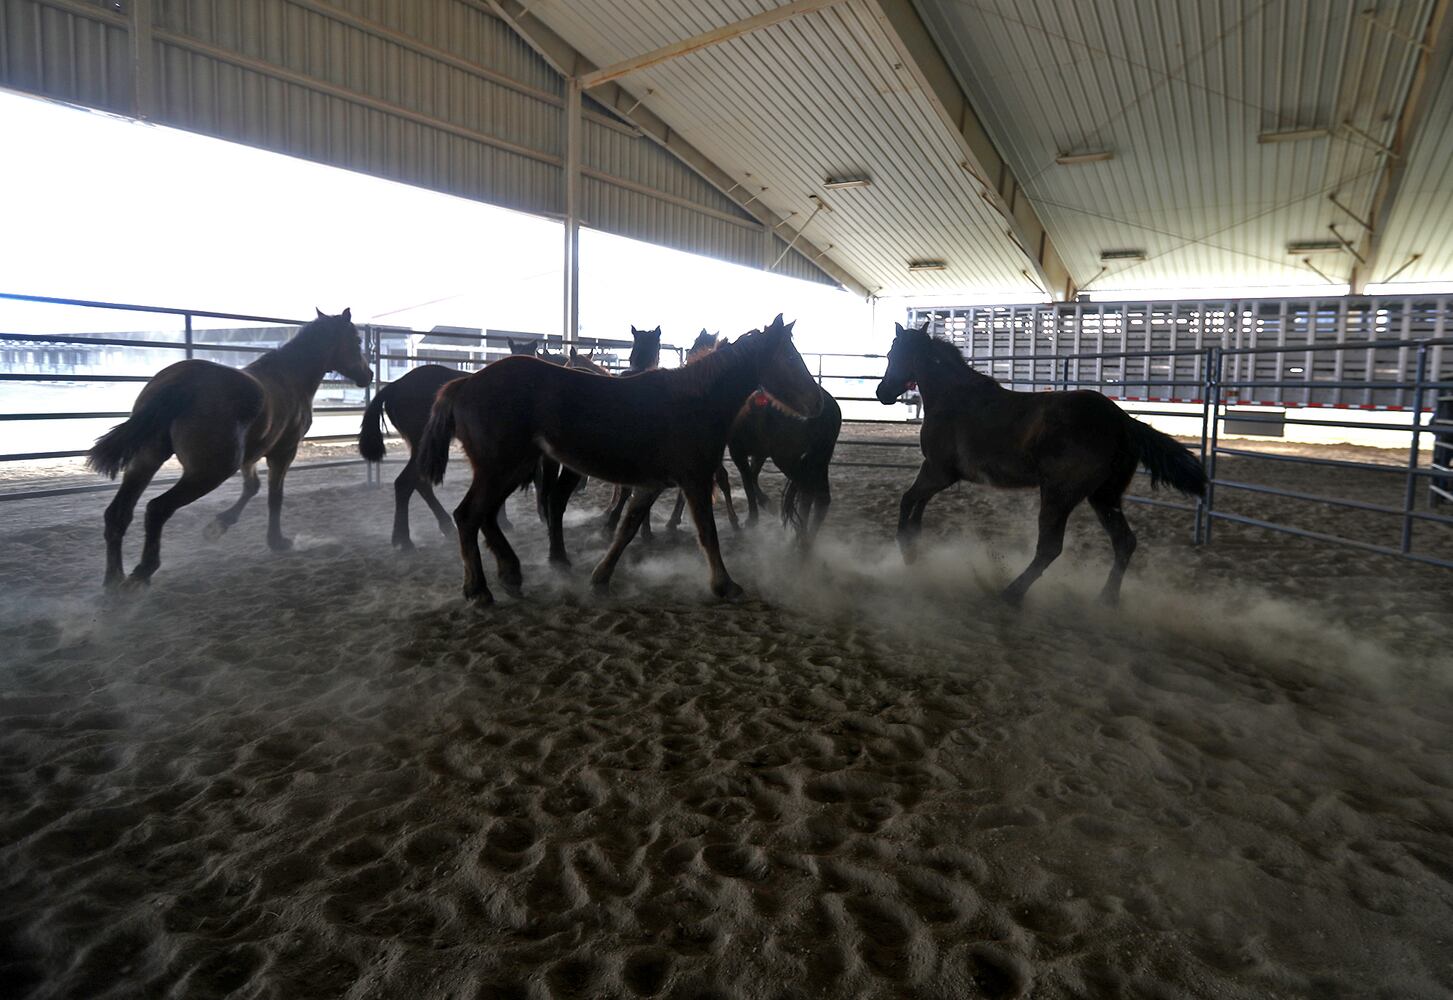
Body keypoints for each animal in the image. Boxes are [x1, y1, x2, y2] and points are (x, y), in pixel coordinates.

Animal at [90, 305, 371, 587]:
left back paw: (114, 580)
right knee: (157, 508)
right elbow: (275, 496)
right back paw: (142, 573)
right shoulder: (283, 453)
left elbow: (252, 487)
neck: (289, 378)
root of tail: (183, 382)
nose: (367, 375)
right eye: (357, 341)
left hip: (146, 461)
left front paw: (218, 526)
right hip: (210, 472)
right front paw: (277, 541)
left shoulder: (251, 455)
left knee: (118, 514)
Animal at [421, 316, 825, 604]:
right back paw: (479, 589)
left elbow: (627, 528)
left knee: (488, 516)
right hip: (502, 468)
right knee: (469, 516)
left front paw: (601, 577)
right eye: (790, 357)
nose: (818, 403)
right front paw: (725, 585)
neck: (693, 401)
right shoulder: (694, 480)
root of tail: (464, 384)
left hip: (511, 468)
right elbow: (708, 533)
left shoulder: (653, 484)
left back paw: (513, 574)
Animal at [871, 319, 1203, 604]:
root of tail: (1122, 421)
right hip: (1104, 497)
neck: (954, 398)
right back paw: (1106, 600)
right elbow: (918, 506)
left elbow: (908, 499)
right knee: (1124, 542)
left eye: (897, 355)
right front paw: (915, 549)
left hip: (1059, 495)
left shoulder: (939, 471)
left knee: (1050, 548)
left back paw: (1011, 593)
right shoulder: (940, 474)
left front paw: (907, 551)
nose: (882, 392)